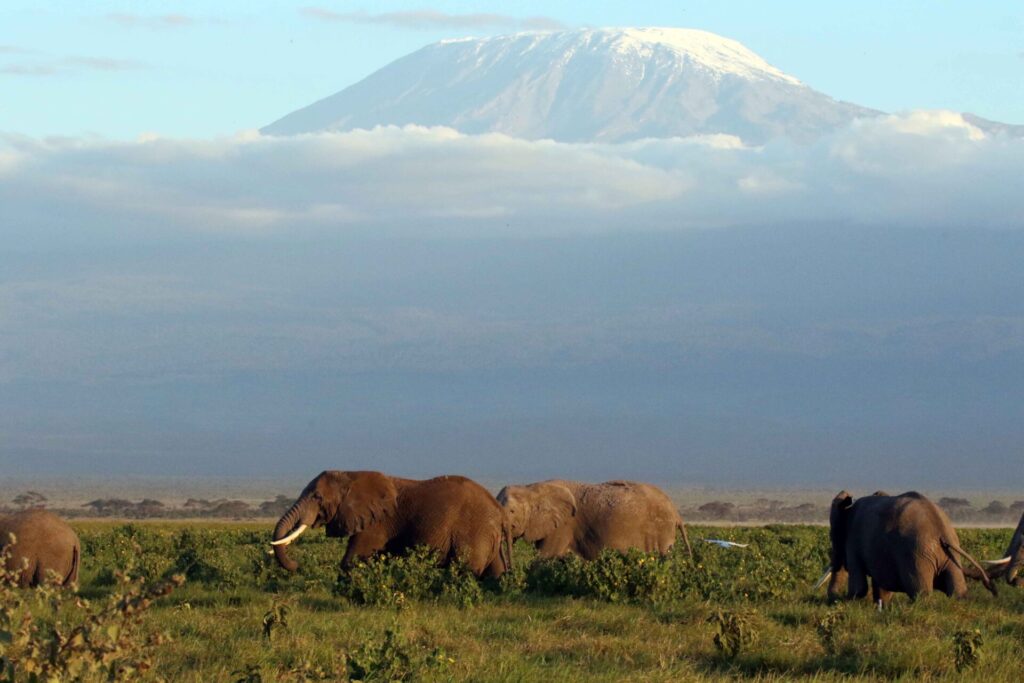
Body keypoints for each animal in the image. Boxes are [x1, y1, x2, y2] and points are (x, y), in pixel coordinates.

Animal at [271, 471, 512, 577]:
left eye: (317, 497)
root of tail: (500, 511)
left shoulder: (377, 523)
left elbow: (353, 559)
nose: (297, 565)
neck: (351, 475)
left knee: (466, 568)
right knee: (495, 571)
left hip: (474, 531)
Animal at [496, 479, 693, 560]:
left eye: (512, 511)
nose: (509, 572)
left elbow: (546, 556)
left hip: (660, 529)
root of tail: (675, 511)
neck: (531, 488)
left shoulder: (563, 526)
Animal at [817, 490, 995, 604]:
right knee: (958, 591)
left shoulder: (854, 541)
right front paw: (880, 606)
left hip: (916, 555)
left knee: (921, 593)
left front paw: (849, 601)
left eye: (832, 534)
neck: (848, 507)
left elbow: (859, 587)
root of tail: (941, 532)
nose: (834, 600)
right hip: (948, 555)